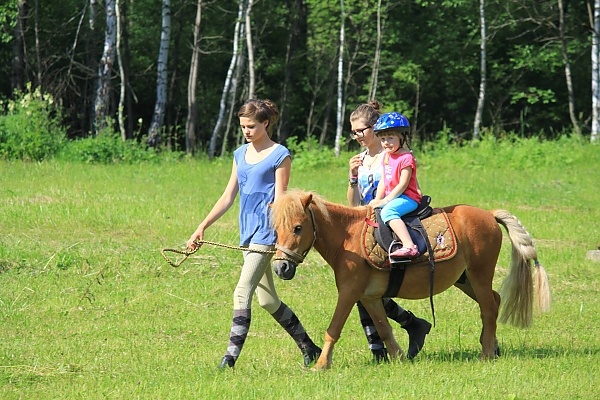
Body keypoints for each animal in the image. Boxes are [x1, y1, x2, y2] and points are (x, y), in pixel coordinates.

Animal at [270, 189, 552, 370]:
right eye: (276, 229)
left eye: (298, 227)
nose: (280, 267)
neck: (348, 238)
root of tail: (489, 215)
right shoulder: (370, 297)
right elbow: (384, 328)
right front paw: (398, 357)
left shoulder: (349, 293)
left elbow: (334, 328)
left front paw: (321, 365)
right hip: (465, 280)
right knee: (494, 300)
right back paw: (493, 347)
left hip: (479, 275)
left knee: (489, 308)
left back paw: (485, 354)